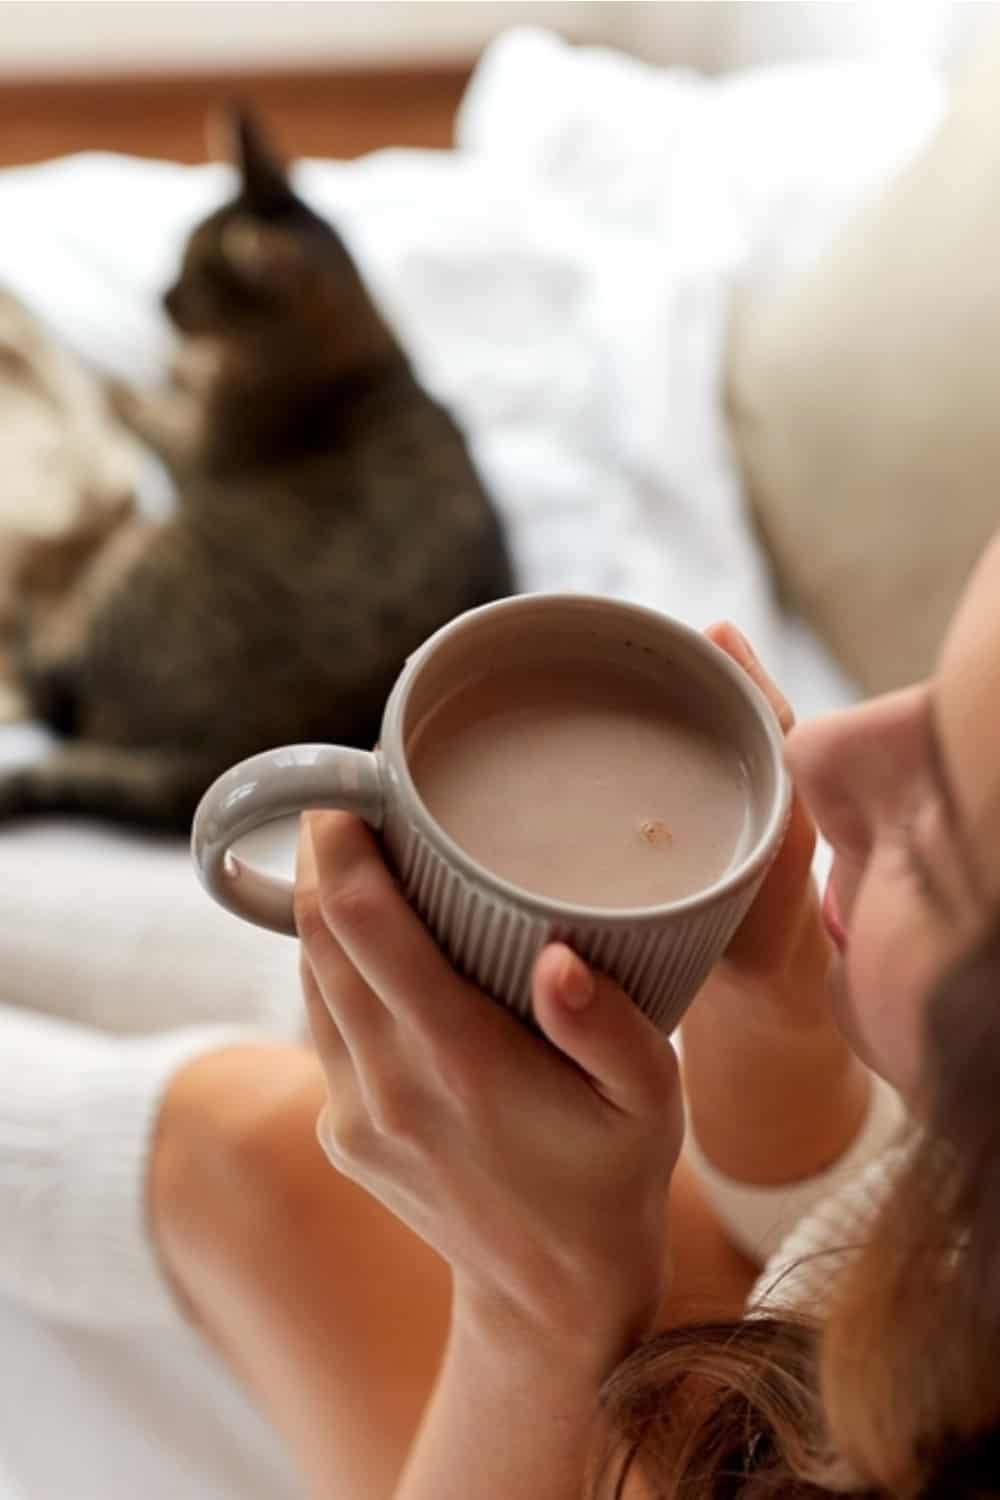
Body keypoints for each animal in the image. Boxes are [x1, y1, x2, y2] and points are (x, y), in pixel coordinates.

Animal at [0, 108, 512, 834]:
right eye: (178, 252)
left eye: (194, 277)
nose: (159, 297)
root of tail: (202, 766)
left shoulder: (194, 448)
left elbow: (136, 400)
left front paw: (127, 376)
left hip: (143, 560)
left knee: (56, 681)